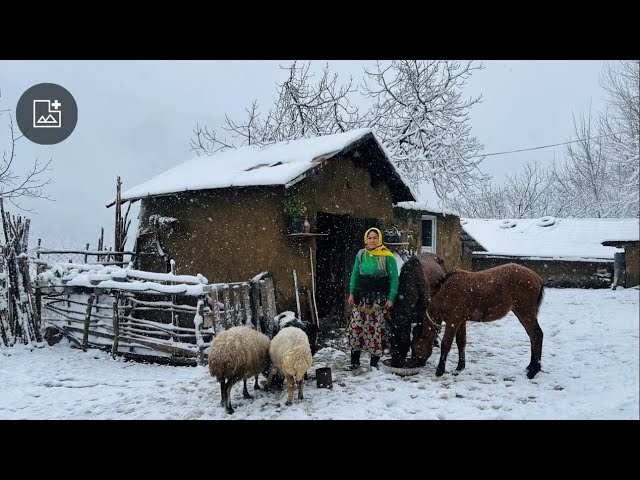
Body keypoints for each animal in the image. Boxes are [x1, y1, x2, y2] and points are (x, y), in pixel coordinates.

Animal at [410, 262, 544, 378]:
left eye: (414, 345)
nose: (411, 364)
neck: (446, 292)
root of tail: (536, 277)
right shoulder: (461, 321)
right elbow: (461, 342)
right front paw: (459, 367)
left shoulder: (452, 321)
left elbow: (446, 344)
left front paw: (439, 371)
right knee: (533, 337)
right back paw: (531, 367)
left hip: (525, 313)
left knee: (536, 335)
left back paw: (533, 370)